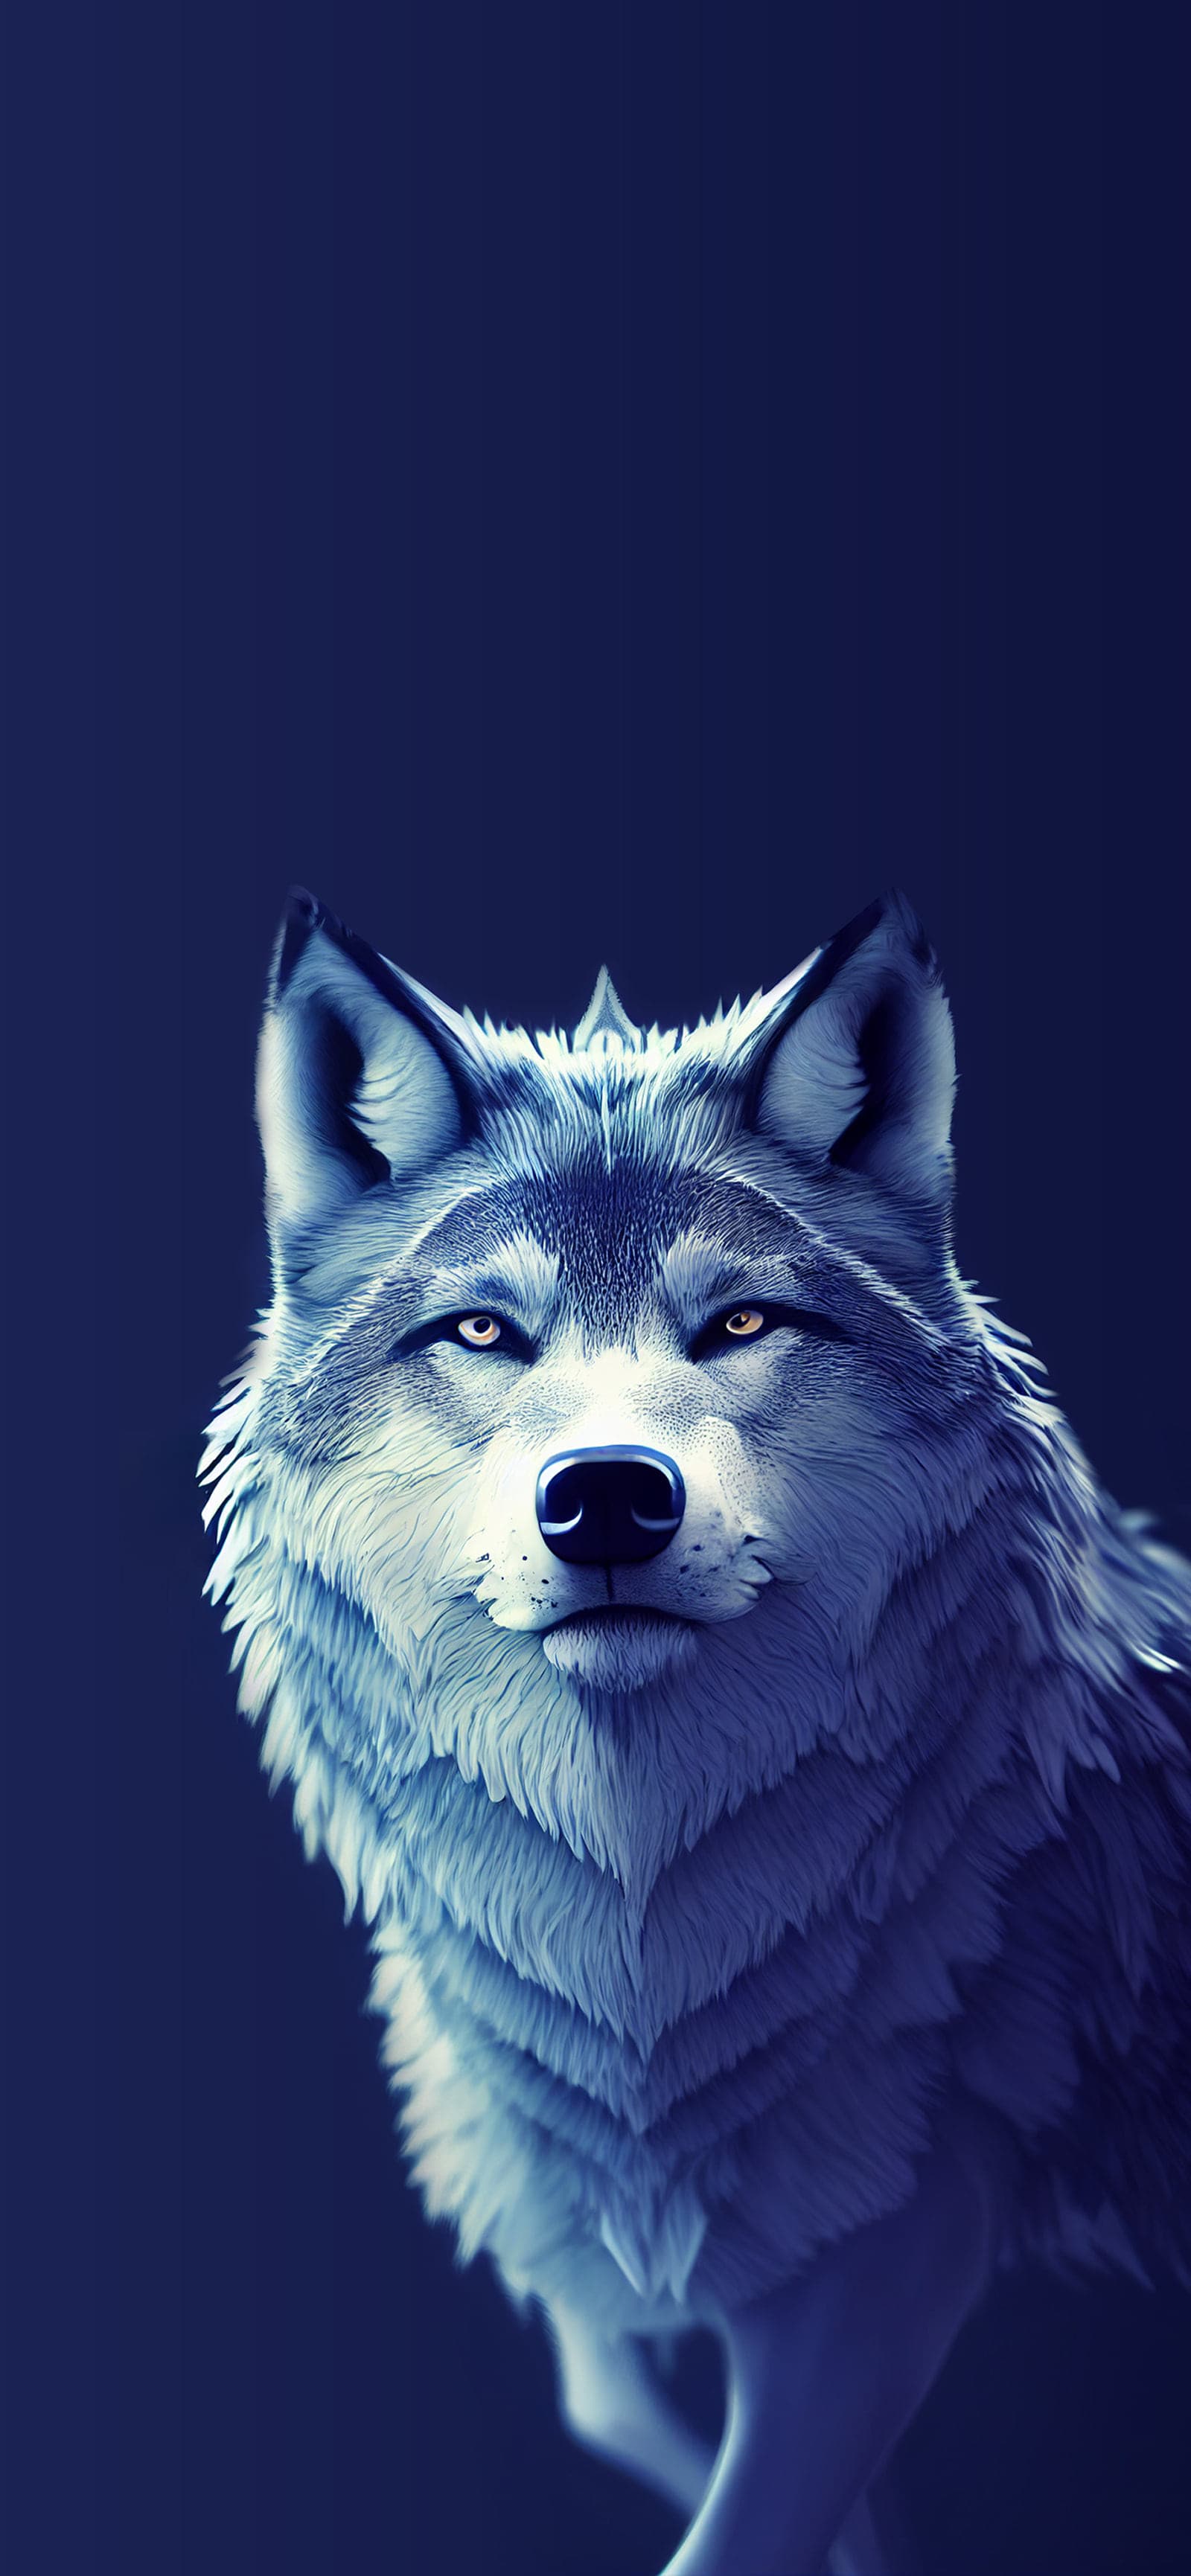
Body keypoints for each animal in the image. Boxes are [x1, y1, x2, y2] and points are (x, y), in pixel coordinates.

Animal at [203, 887, 1191, 2576]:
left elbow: (735, 2529)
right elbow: (628, 2407)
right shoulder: (641, 2281)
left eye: (738, 1320)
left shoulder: (882, 2274)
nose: (608, 1495)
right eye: (484, 1332)